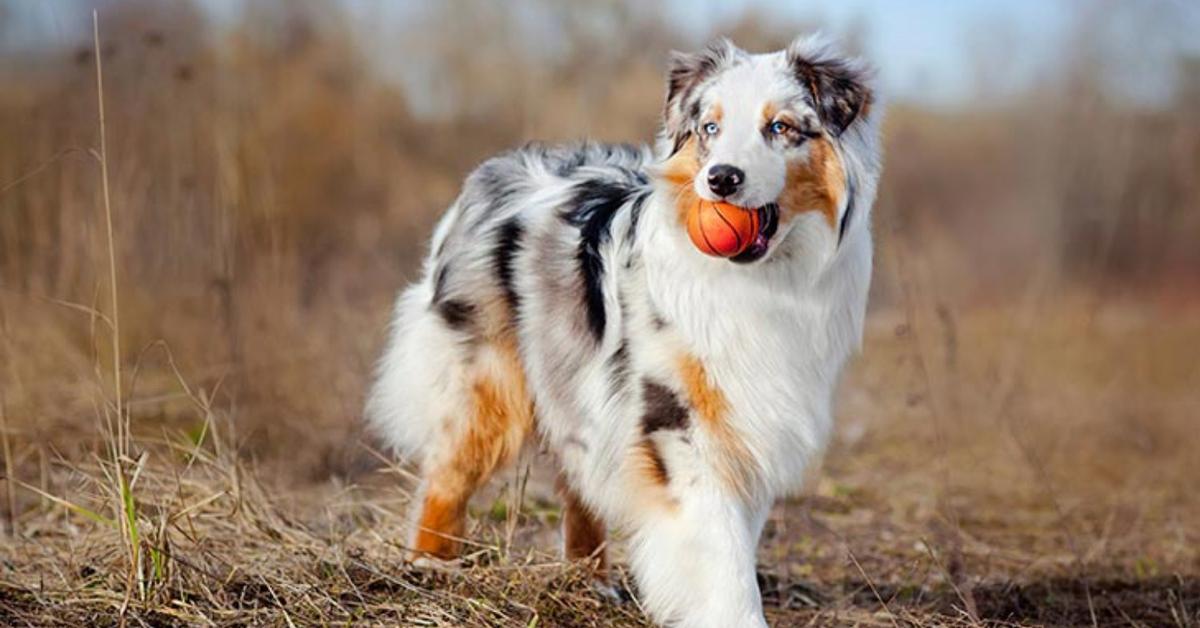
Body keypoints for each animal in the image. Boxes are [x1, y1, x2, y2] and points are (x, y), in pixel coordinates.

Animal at [364, 35, 883, 628]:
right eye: (710, 128)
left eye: (780, 127)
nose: (721, 178)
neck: (762, 281)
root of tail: (496, 168)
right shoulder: (678, 422)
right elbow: (723, 558)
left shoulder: (747, 422)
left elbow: (733, 543)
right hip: (488, 380)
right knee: (448, 475)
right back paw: (432, 566)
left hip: (577, 385)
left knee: (578, 481)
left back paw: (589, 581)